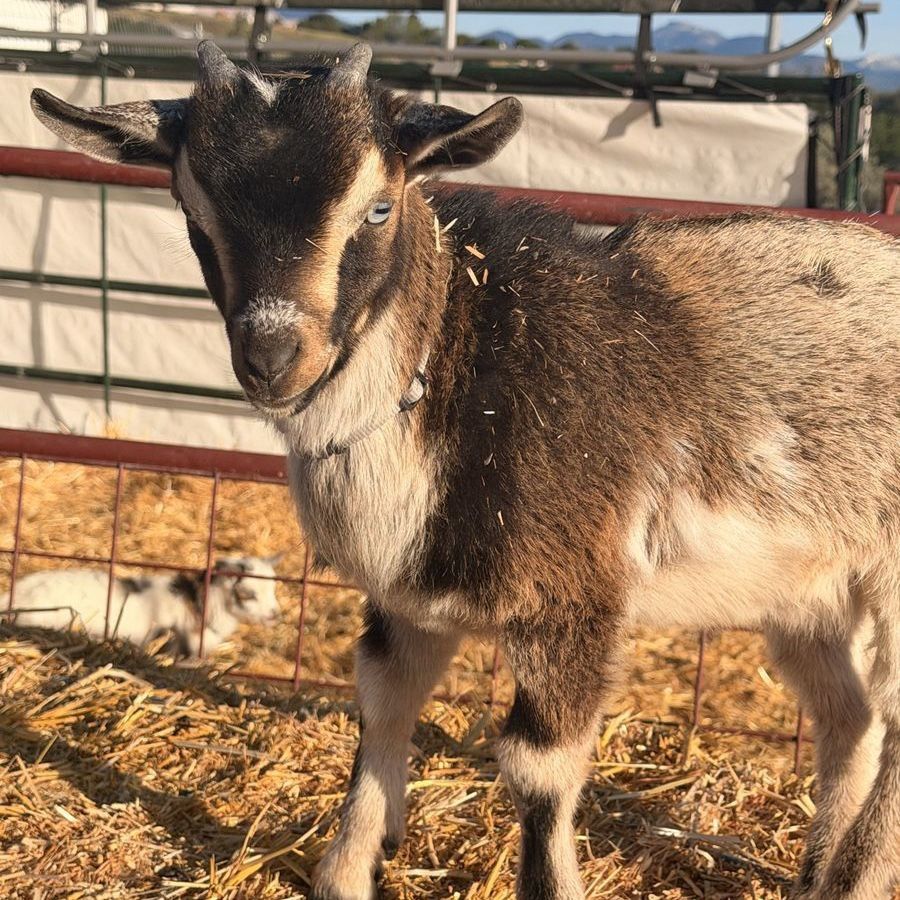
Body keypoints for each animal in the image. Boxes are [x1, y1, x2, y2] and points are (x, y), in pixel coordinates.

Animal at [31, 42, 900, 900]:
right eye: (191, 211)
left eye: (379, 208)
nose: (274, 357)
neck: (455, 351)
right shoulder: (405, 598)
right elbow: (383, 705)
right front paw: (348, 872)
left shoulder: (573, 599)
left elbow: (538, 770)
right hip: (807, 591)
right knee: (850, 718)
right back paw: (821, 874)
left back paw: (856, 876)